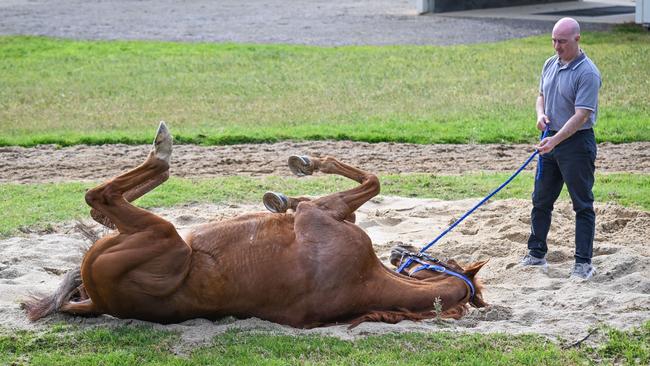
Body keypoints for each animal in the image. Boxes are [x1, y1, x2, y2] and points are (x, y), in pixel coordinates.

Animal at [22, 123, 484, 328]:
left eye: (443, 258)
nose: (402, 249)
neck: (365, 279)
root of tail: (99, 302)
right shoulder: (330, 213)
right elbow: (360, 189)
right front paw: (283, 196)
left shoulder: (321, 213)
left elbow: (370, 181)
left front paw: (304, 167)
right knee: (101, 205)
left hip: (165, 238)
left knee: (101, 199)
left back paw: (163, 148)